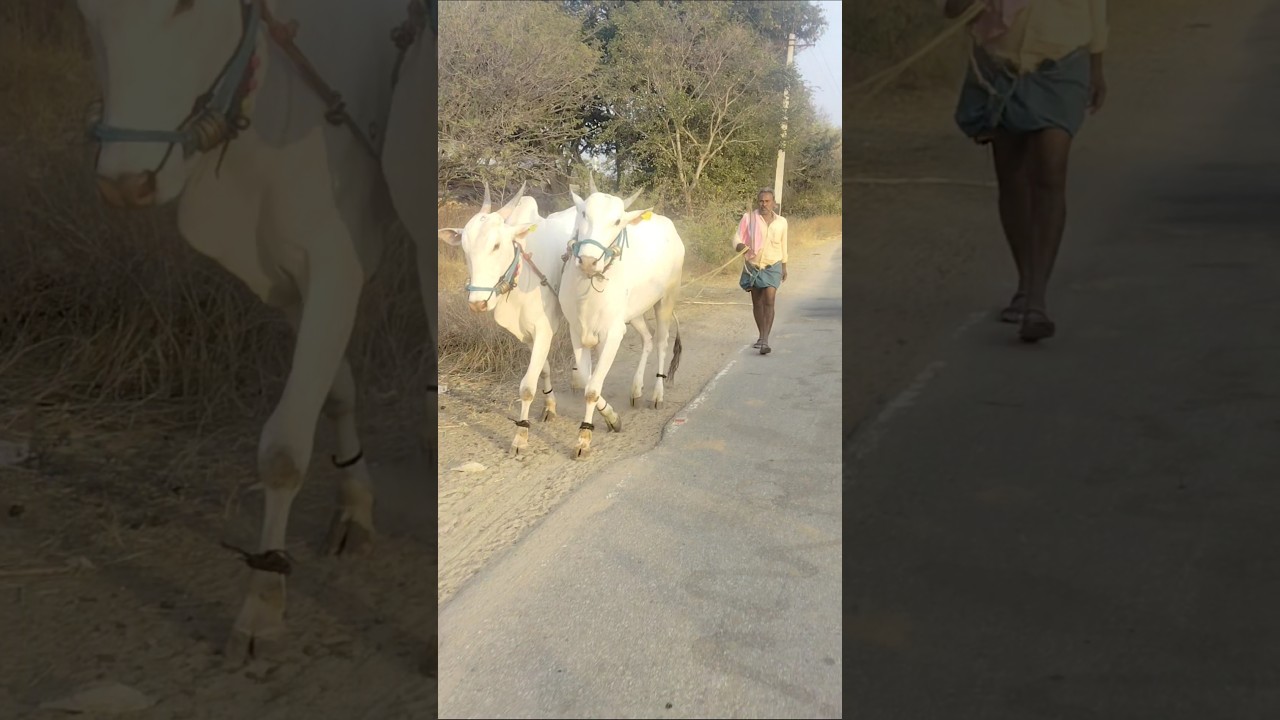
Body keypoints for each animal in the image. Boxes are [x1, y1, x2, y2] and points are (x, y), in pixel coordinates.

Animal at [76, 0, 417, 662]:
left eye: (187, 6)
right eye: (85, 12)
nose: (125, 184)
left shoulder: (337, 265)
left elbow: (283, 451)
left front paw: (262, 605)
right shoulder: (289, 284)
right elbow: (335, 393)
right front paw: (354, 507)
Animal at [559, 173, 685, 459]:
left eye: (617, 221)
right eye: (584, 213)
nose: (588, 262)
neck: (587, 291)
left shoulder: (612, 333)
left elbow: (592, 389)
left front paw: (584, 438)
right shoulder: (577, 332)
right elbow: (588, 382)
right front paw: (611, 418)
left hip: (666, 300)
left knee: (661, 343)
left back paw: (657, 394)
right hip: (635, 313)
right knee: (647, 339)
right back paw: (636, 389)